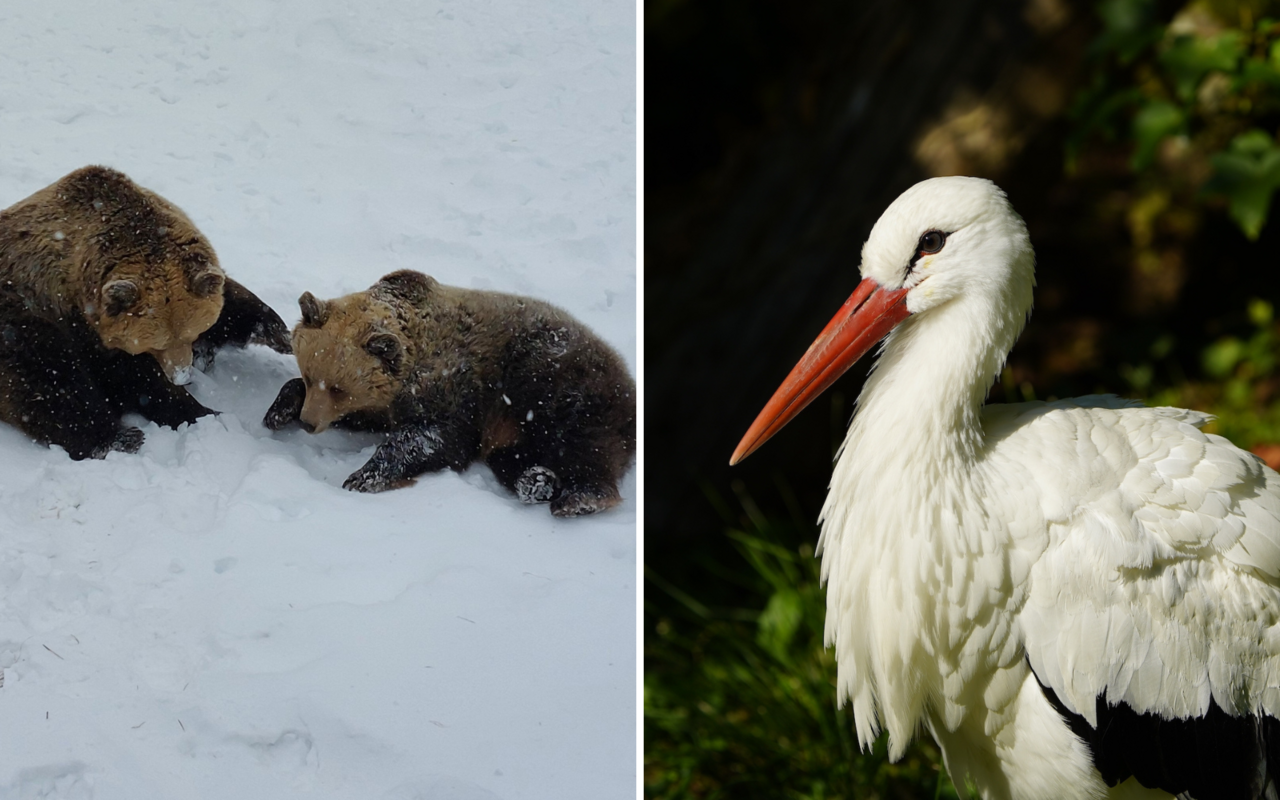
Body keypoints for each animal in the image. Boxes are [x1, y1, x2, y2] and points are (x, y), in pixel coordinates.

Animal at [0, 165, 290, 458]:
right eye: (155, 345)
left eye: (193, 332)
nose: (182, 376)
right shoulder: (70, 315)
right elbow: (131, 378)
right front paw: (200, 412)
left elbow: (229, 299)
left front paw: (276, 332)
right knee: (47, 376)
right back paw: (120, 437)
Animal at [263, 270, 634, 517]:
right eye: (311, 376)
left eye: (339, 389)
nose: (309, 423)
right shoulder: (384, 403)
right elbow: (365, 418)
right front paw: (278, 410)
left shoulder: (455, 386)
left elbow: (436, 437)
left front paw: (363, 476)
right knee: (513, 456)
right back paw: (538, 481)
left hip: (552, 378)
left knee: (581, 437)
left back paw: (580, 497)